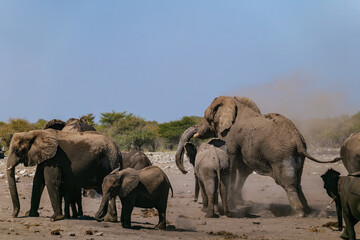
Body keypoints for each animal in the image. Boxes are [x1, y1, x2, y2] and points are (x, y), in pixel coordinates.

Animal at [176, 96, 338, 218]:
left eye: (206, 117)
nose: (185, 171)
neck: (235, 104)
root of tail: (298, 138)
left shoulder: (231, 137)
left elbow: (233, 164)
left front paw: (234, 204)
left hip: (281, 156)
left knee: (288, 182)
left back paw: (299, 213)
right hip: (297, 157)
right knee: (298, 181)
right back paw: (308, 211)